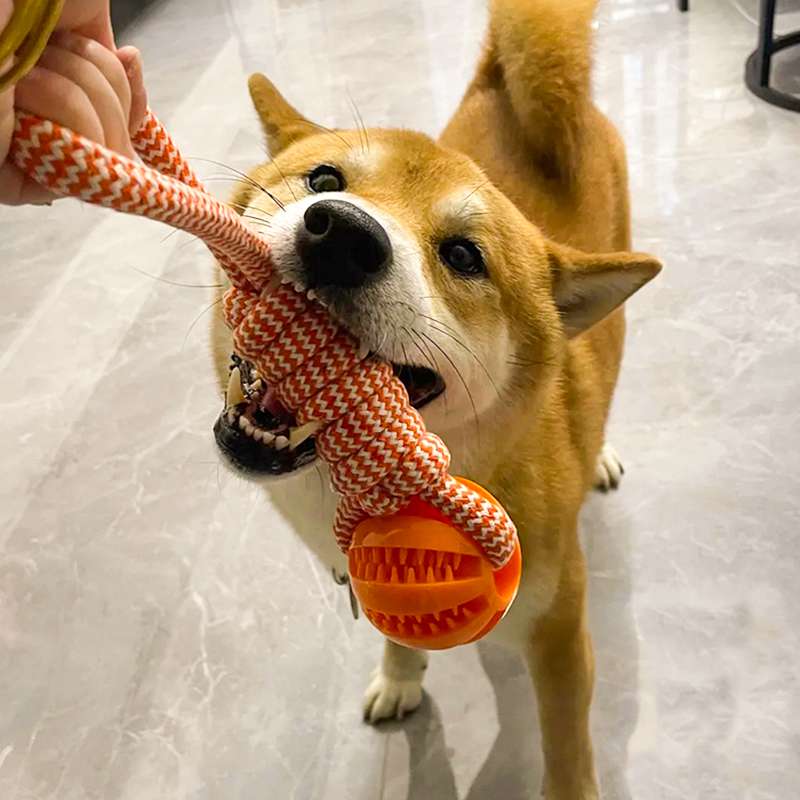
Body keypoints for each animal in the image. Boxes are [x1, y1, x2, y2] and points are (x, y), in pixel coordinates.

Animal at [209, 3, 660, 796]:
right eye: (323, 178)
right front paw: (400, 677)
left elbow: (567, 747)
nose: (342, 234)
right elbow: (398, 639)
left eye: (461, 256)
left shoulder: (559, 631)